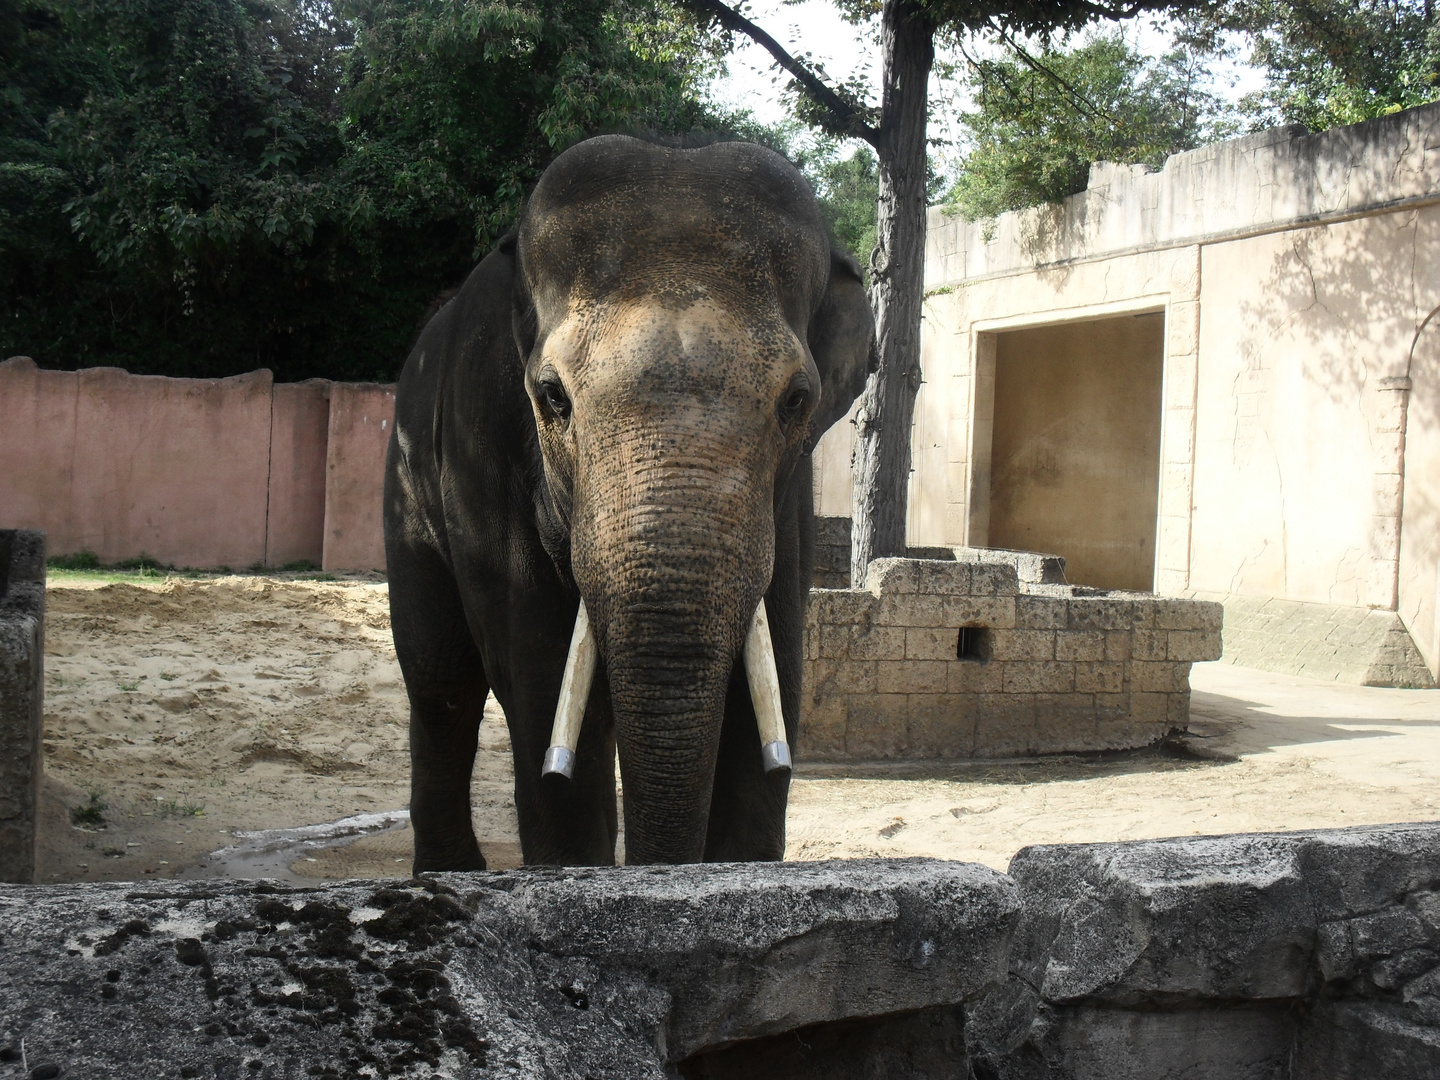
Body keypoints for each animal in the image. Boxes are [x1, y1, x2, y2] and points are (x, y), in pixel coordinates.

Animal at [383, 135, 869, 869]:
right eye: (552, 395)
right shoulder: (482, 445)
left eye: (797, 401)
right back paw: (449, 872)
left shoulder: (791, 502)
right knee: (442, 684)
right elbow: (539, 673)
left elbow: (772, 674)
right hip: (407, 486)